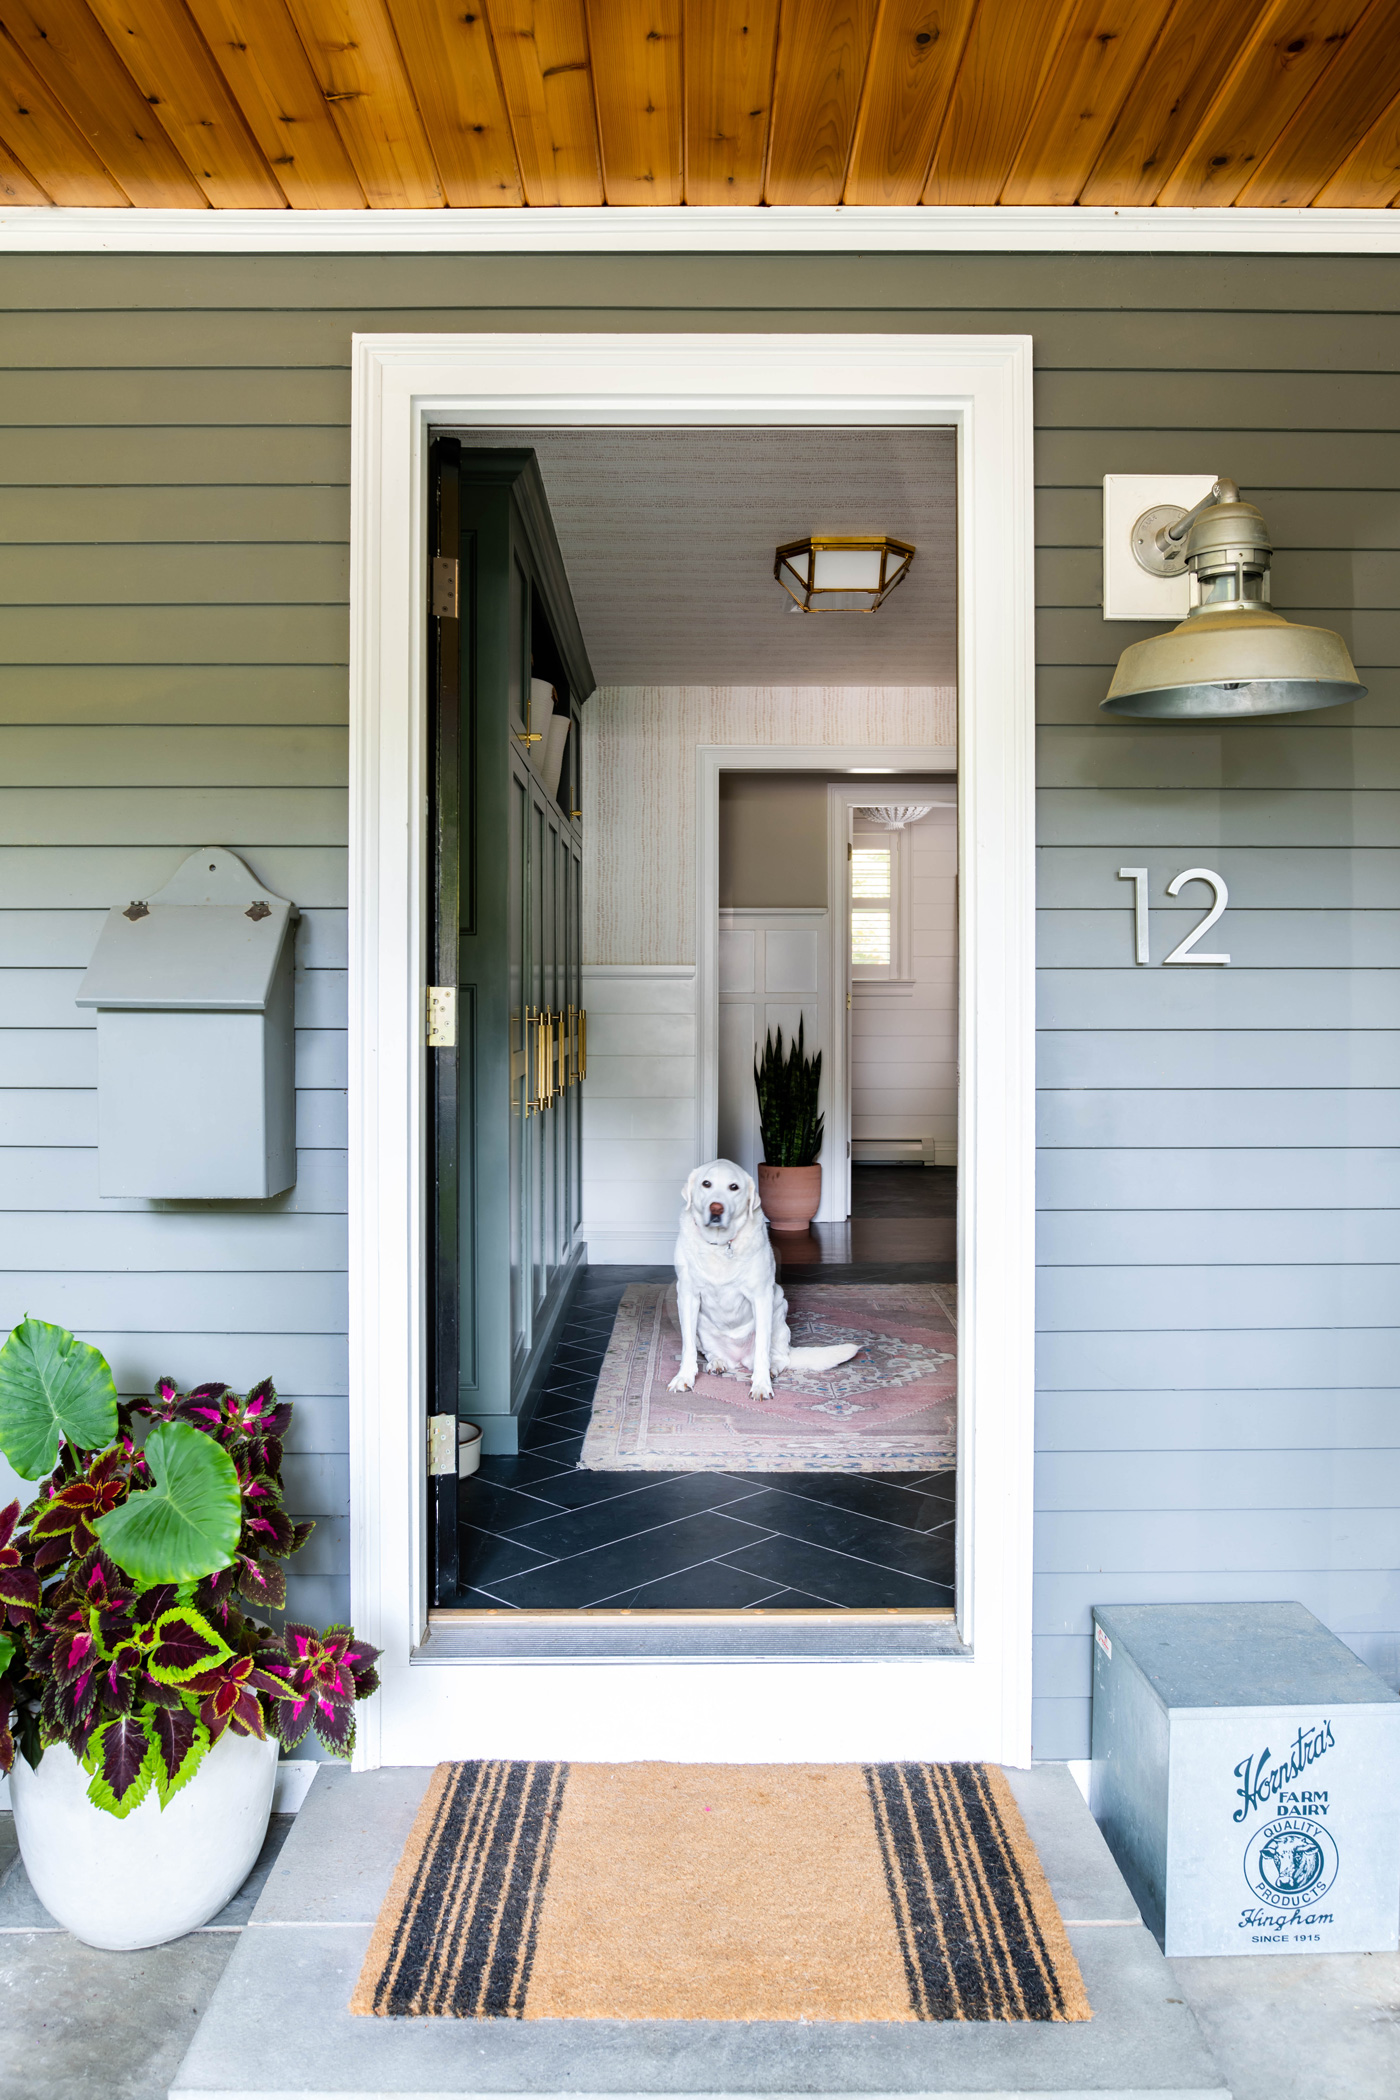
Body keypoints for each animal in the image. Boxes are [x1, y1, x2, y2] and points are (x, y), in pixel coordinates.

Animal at [663, 1159, 860, 1402]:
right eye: (706, 1184)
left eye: (734, 1187)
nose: (716, 1208)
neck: (721, 1244)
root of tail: (738, 1359)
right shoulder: (688, 1295)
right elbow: (688, 1346)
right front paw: (684, 1377)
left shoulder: (761, 1297)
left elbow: (761, 1350)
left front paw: (761, 1384)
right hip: (704, 1329)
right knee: (710, 1351)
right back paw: (717, 1362)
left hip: (779, 1313)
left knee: (779, 1356)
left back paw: (771, 1368)